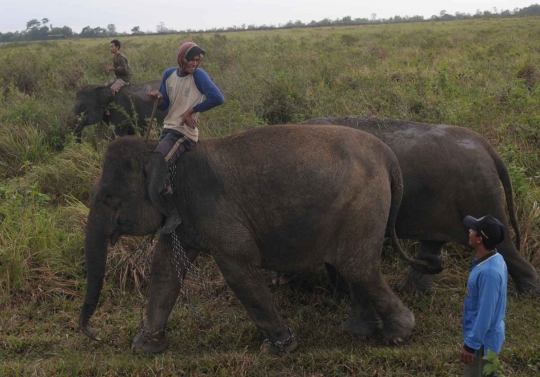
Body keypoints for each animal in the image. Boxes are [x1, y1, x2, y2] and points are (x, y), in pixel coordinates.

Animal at [79, 124, 438, 352]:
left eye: (109, 198)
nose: (94, 335)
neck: (165, 153)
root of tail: (387, 155)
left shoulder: (212, 207)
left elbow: (239, 268)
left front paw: (281, 347)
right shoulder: (181, 216)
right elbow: (166, 268)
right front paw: (145, 348)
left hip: (363, 202)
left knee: (357, 266)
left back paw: (398, 335)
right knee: (351, 266)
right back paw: (360, 332)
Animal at [274, 116, 540, 296]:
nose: (278, 281)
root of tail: (487, 147)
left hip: (480, 194)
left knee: (501, 243)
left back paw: (526, 294)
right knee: (432, 244)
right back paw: (411, 291)